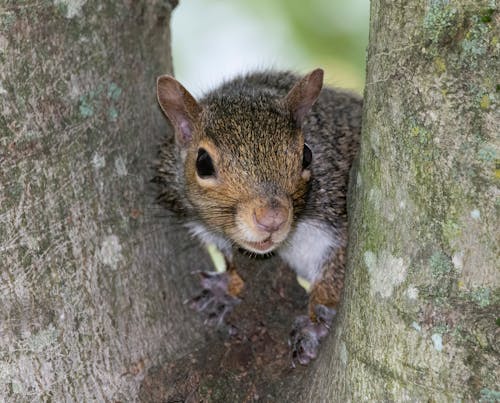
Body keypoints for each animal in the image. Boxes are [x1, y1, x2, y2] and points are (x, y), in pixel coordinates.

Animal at [154, 68, 362, 366]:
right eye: (203, 164)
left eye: (307, 155)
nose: (272, 219)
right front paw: (226, 288)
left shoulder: (339, 212)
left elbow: (336, 270)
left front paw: (314, 324)